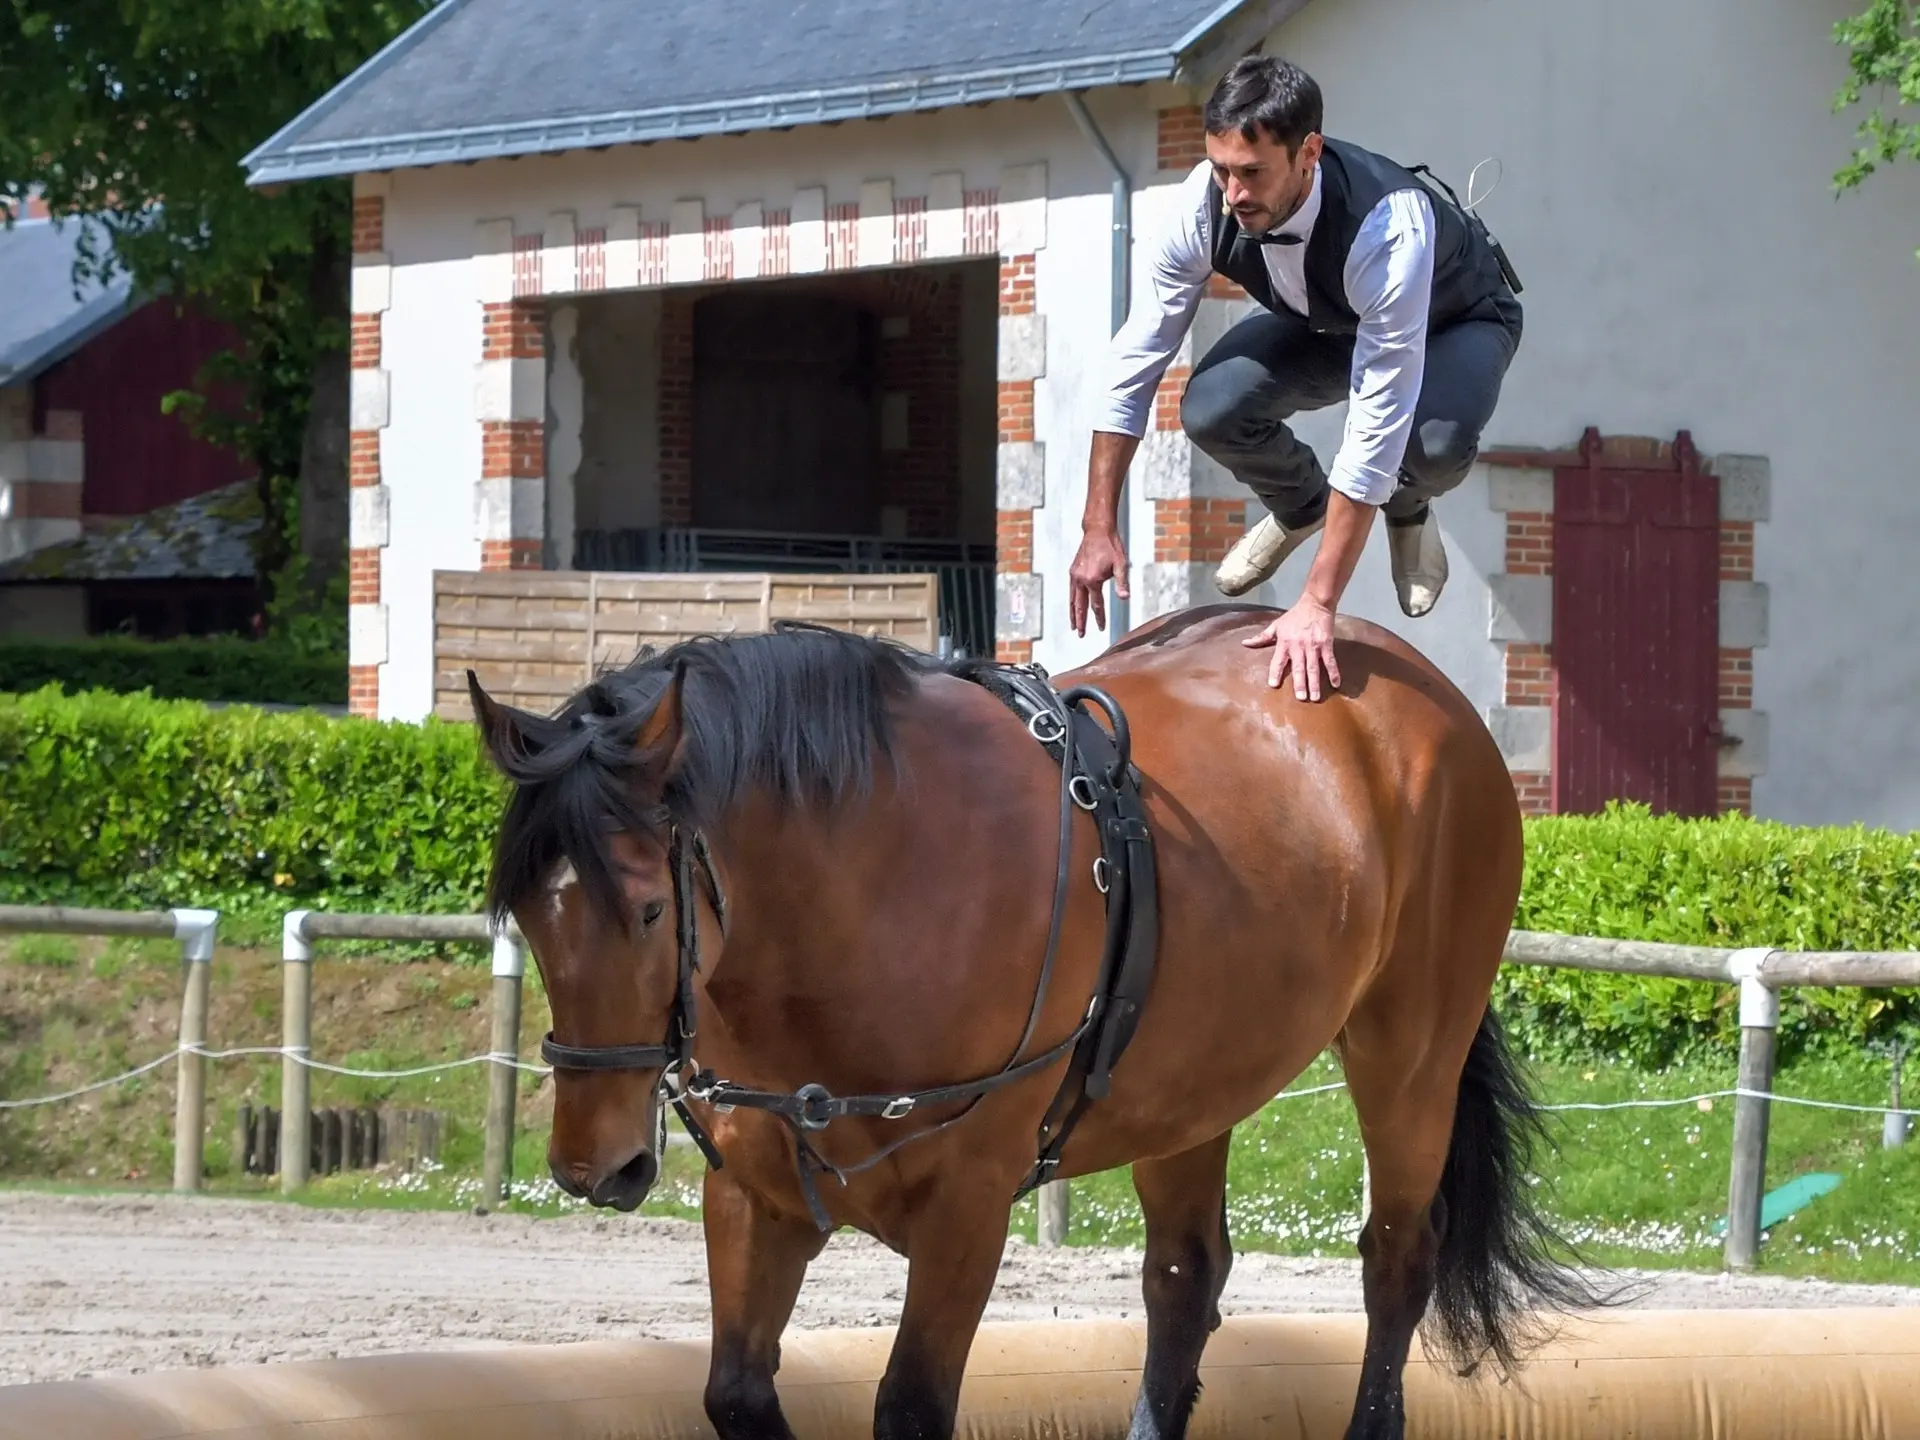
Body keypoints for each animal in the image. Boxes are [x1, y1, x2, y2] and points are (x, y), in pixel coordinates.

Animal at [468, 606, 1605, 1440]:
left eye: (647, 909)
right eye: (524, 909)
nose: (593, 1166)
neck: (867, 883)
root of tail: (1412, 680)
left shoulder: (968, 1206)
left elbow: (910, 1407)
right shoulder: (756, 1199)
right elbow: (737, 1397)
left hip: (1407, 1057)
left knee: (1394, 1263)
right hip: (1190, 1096)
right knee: (1185, 1283)